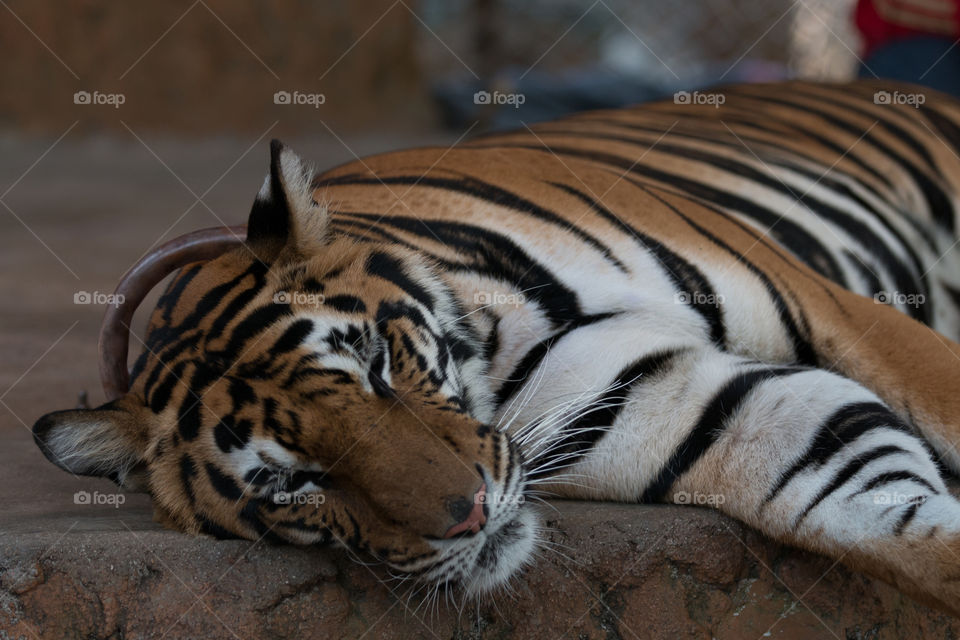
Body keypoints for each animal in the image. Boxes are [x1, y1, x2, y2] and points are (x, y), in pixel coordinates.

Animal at [31, 79, 960, 616]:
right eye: (294, 482)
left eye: (377, 368)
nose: (471, 516)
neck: (493, 356)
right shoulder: (705, 405)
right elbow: (876, 505)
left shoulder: (828, 305)